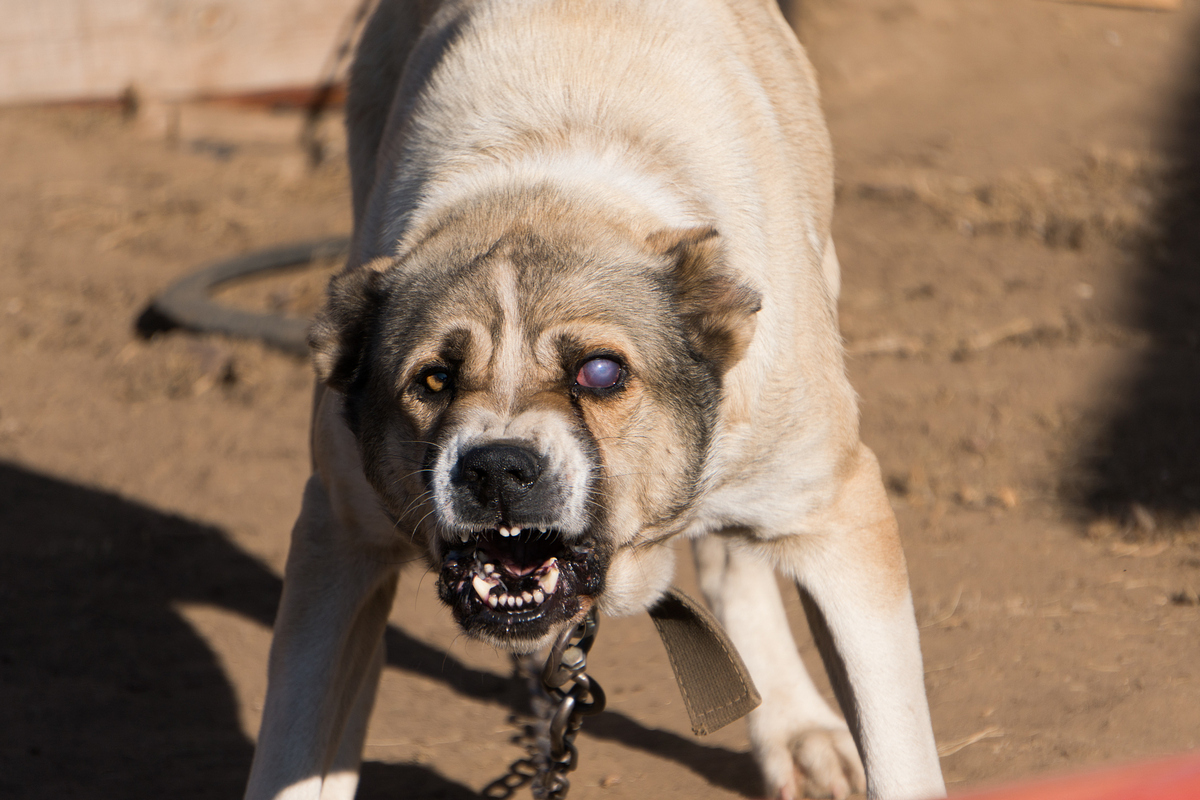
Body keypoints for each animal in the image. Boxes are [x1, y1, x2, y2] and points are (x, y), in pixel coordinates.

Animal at [243, 1, 945, 800]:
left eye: (601, 374)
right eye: (433, 381)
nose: (497, 470)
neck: (544, 187)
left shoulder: (842, 520)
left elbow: (902, 754)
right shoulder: (338, 540)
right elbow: (294, 754)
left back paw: (794, 728)